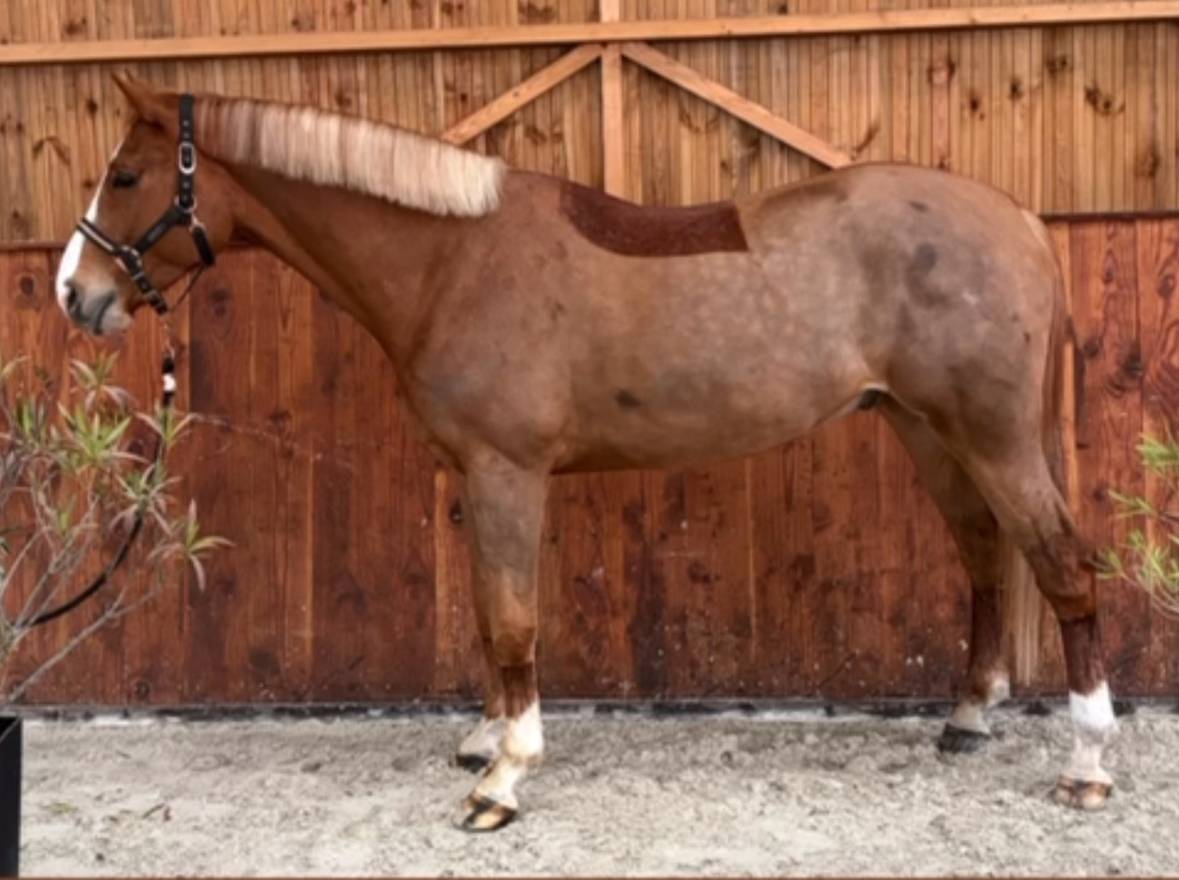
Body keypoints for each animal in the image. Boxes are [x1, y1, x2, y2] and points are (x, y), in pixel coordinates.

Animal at [55, 73, 1117, 831]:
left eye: (126, 176)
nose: (76, 293)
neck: (451, 263)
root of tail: (1020, 220)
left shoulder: (507, 473)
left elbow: (511, 620)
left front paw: (503, 779)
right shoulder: (478, 479)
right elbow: (487, 615)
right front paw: (485, 739)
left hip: (990, 436)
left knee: (1061, 566)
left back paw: (1088, 764)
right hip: (923, 427)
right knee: (984, 555)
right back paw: (967, 716)